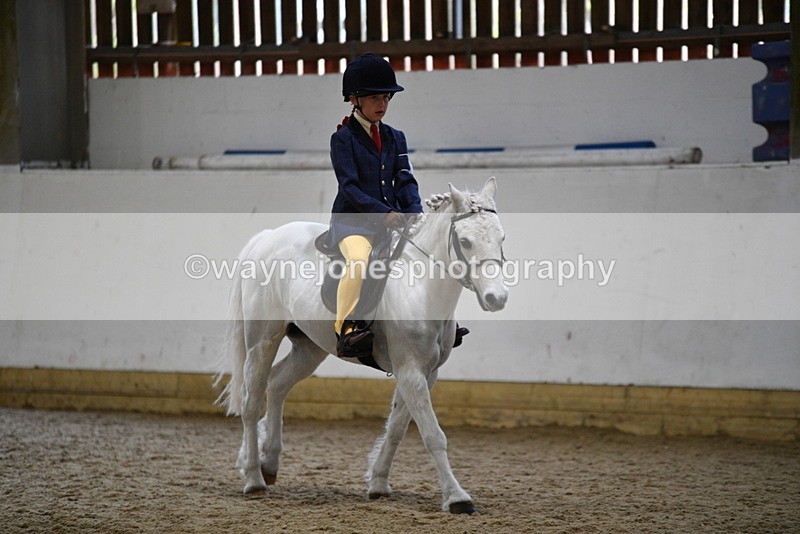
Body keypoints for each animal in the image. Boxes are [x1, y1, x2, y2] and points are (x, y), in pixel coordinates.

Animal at [217, 177, 508, 513]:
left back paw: (270, 464)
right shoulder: (410, 370)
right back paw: (253, 478)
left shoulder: (425, 372)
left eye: (502, 237)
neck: (421, 287)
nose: (497, 298)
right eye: (465, 241)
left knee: (277, 384)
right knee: (251, 402)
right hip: (263, 339)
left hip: (310, 347)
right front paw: (457, 497)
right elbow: (433, 434)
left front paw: (379, 483)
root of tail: (268, 237)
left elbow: (397, 428)